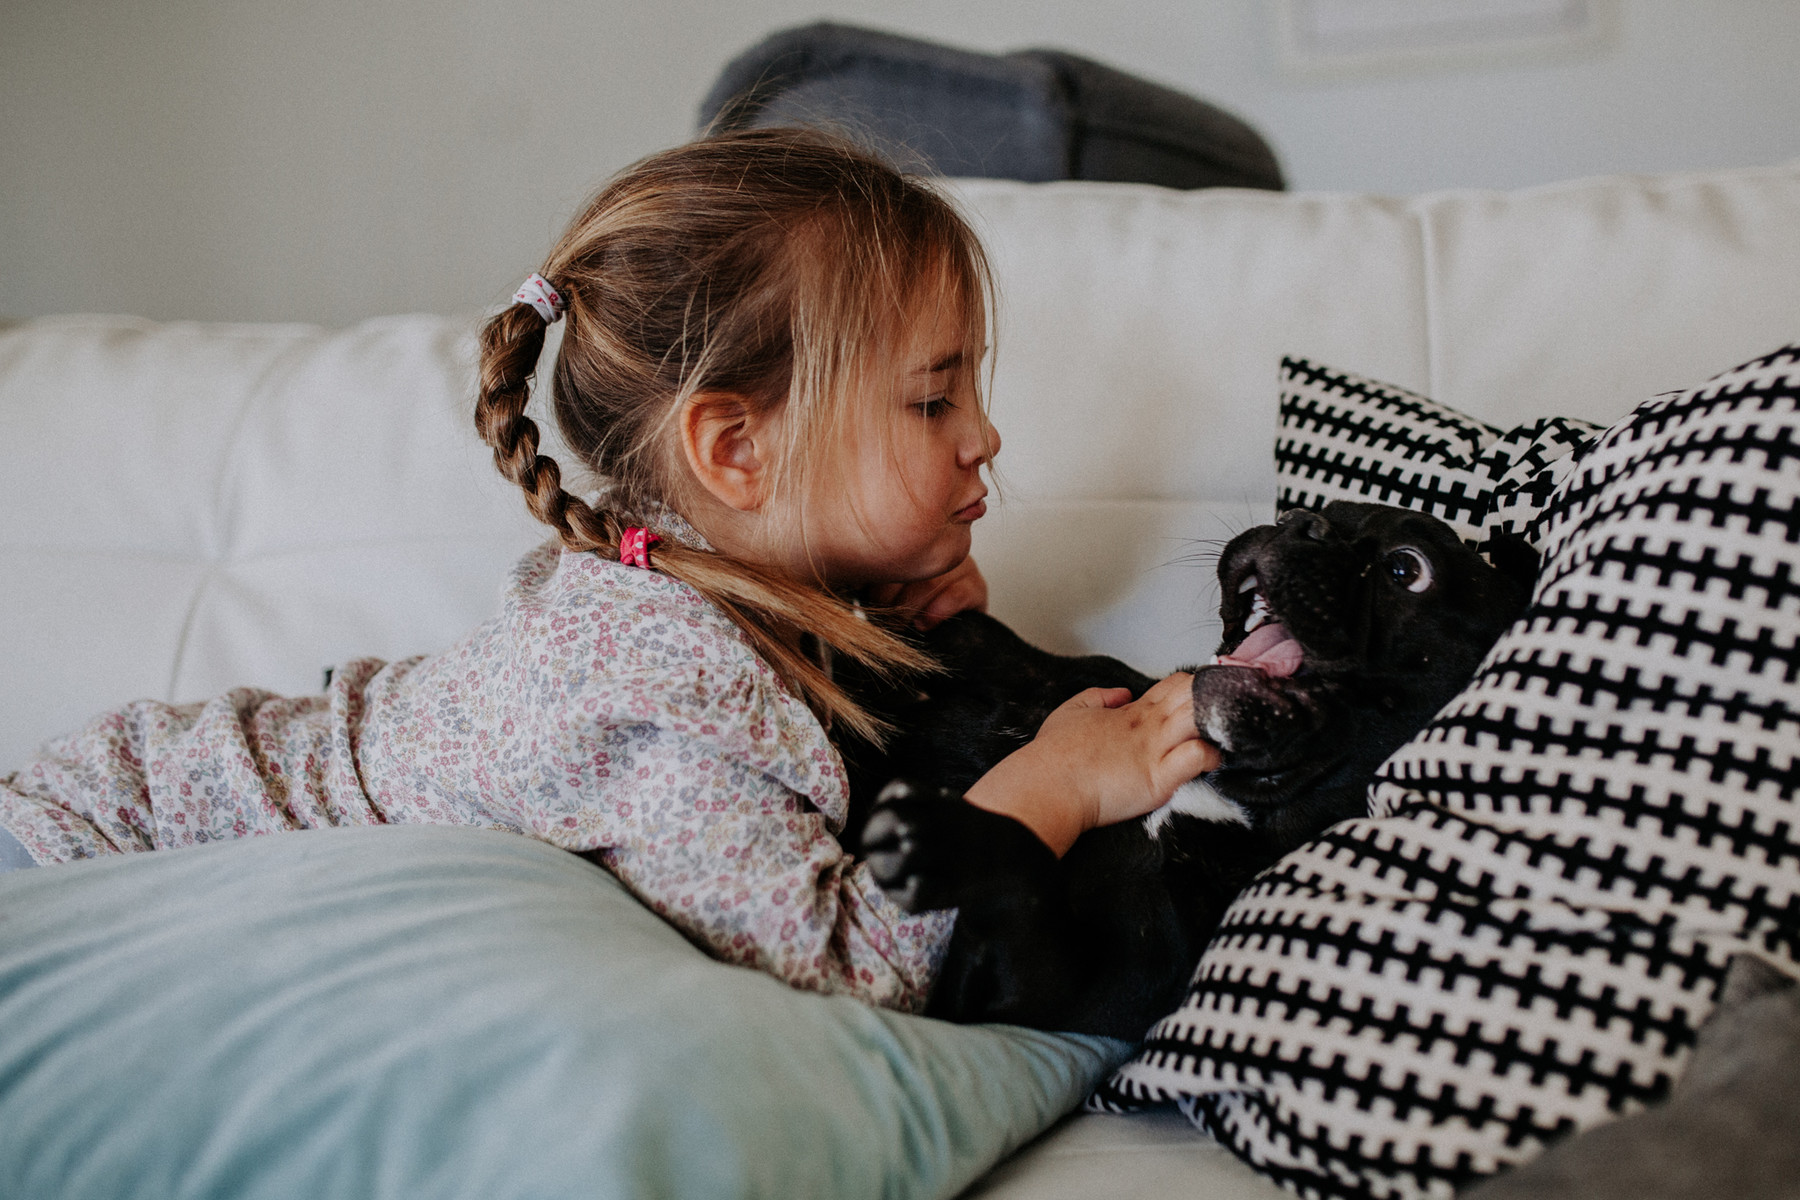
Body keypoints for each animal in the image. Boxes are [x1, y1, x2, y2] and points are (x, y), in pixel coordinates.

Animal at [842, 503, 1533, 1036]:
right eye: (1320, 511)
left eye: (1405, 569)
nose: (1301, 521)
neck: (1227, 785)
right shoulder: (1056, 670)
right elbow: (980, 640)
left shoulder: (1061, 989)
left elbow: (1027, 868)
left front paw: (942, 836)